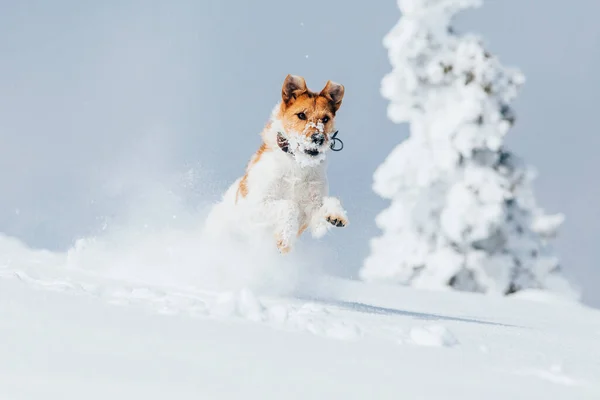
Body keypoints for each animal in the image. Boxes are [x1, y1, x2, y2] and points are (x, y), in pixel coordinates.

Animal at [205, 74, 350, 255]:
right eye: (301, 115)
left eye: (325, 119)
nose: (318, 139)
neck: (297, 165)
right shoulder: (255, 205)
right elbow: (289, 205)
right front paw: (285, 238)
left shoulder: (310, 213)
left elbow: (325, 207)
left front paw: (335, 214)